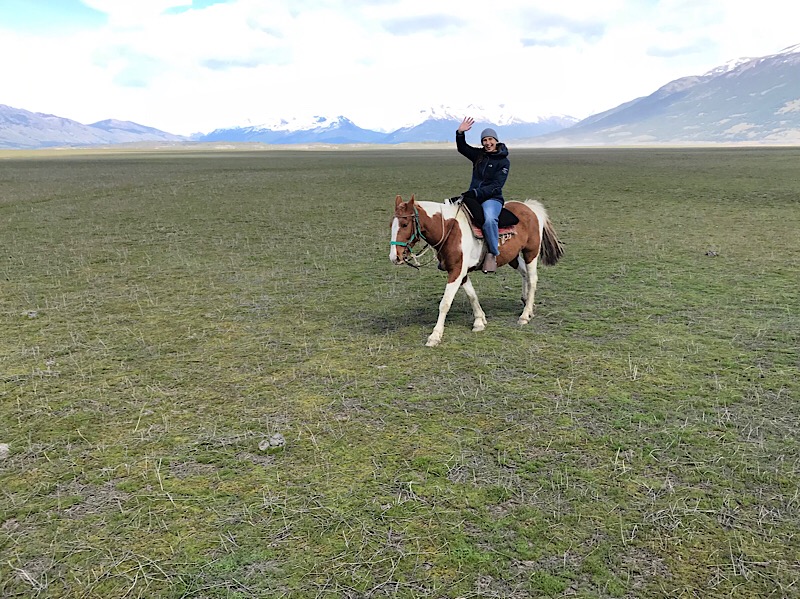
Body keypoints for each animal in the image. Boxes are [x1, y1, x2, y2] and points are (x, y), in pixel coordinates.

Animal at [389, 194, 563, 347]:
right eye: (392, 225)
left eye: (405, 224)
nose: (394, 257)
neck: (451, 230)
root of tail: (530, 207)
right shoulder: (461, 271)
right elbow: (471, 295)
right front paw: (479, 321)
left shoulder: (457, 271)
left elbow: (445, 303)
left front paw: (434, 336)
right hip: (513, 257)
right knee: (525, 274)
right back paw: (527, 304)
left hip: (531, 252)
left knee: (532, 279)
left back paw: (525, 315)